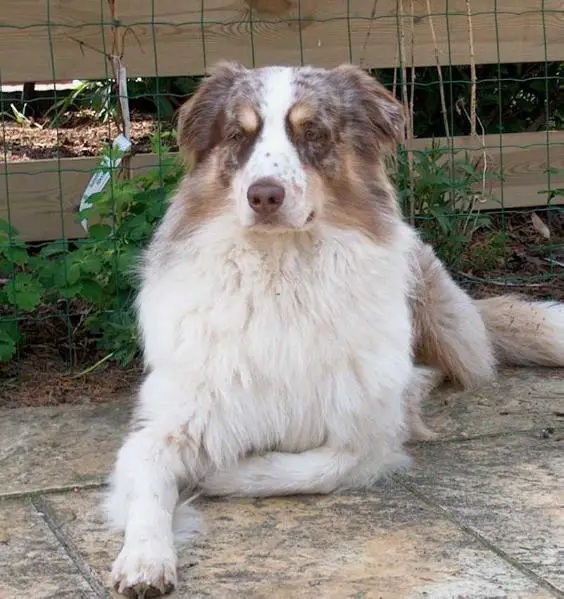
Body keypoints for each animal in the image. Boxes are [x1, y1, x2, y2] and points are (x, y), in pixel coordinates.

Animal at [104, 63, 564, 596]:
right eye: (239, 135)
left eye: (313, 133)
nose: (264, 195)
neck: (280, 273)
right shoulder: (168, 424)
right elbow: (149, 487)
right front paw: (145, 557)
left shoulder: (367, 437)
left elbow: (318, 467)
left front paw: (223, 473)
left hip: (437, 315)